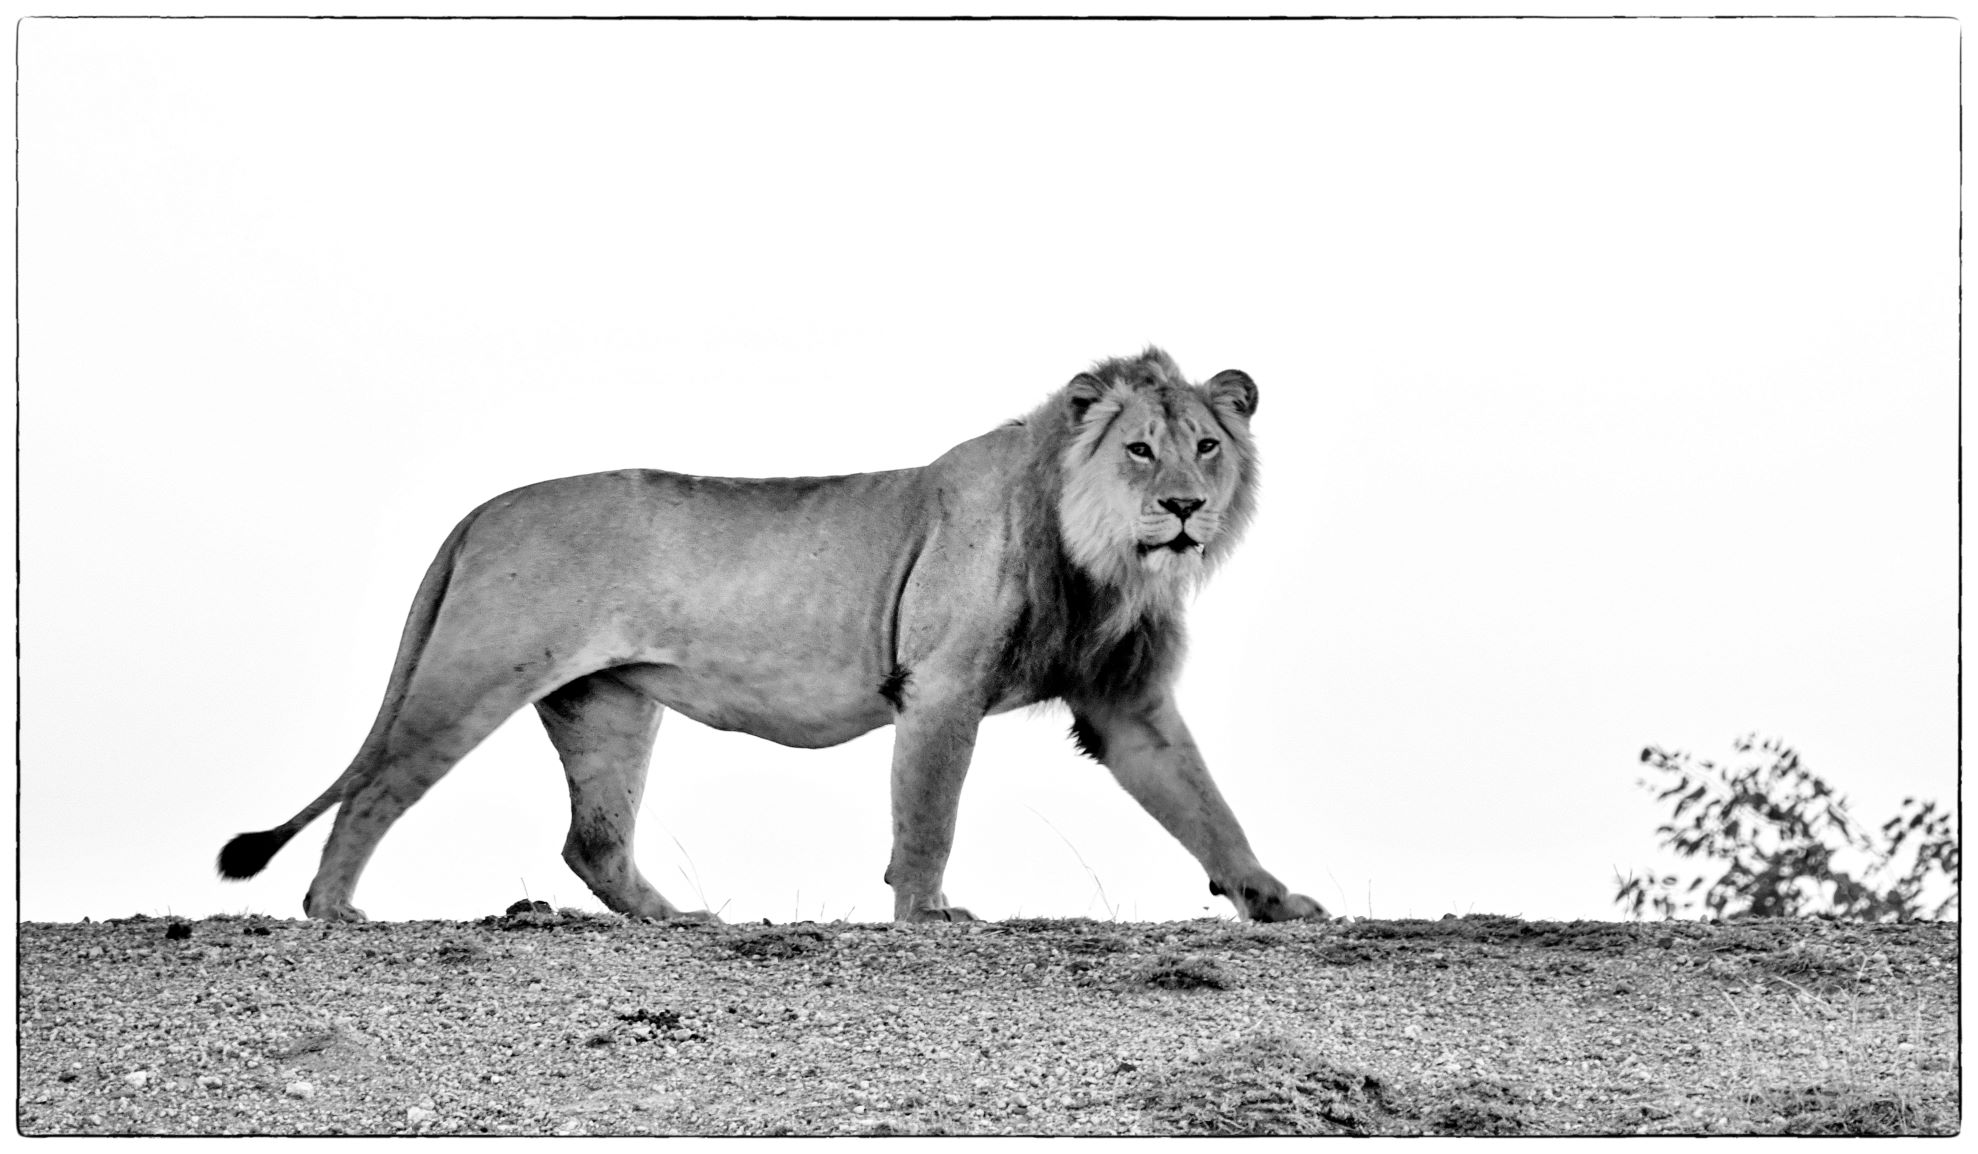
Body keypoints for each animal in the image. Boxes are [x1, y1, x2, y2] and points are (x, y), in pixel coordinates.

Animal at [218, 347, 1324, 924]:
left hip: (605, 705)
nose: (1184, 508)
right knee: (375, 787)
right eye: (1139, 448)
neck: (1101, 565)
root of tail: (483, 510)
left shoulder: (1126, 701)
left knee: (592, 840)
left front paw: (1274, 900)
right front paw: (927, 915)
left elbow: (1206, 806)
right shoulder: (939, 687)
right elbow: (928, 818)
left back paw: (675, 921)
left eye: (1208, 446)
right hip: (472, 675)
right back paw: (333, 910)